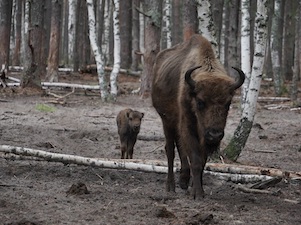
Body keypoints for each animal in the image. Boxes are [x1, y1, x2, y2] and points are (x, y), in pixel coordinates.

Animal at [151, 34, 245, 200]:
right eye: (200, 102)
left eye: (228, 103)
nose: (215, 134)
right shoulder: (188, 125)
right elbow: (194, 159)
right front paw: (197, 194)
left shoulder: (202, 136)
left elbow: (201, 161)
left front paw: (196, 189)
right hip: (166, 120)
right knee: (170, 150)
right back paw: (171, 186)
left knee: (180, 147)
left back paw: (184, 181)